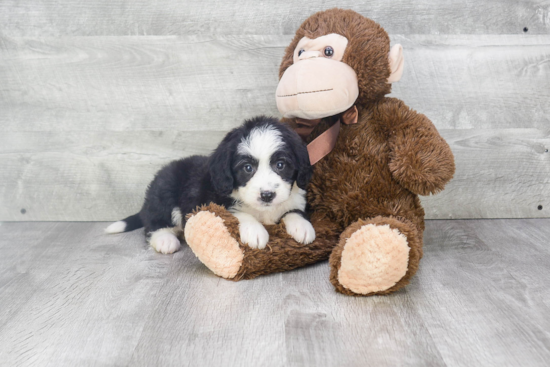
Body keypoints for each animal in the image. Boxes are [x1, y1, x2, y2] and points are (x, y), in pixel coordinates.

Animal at [105, 116, 316, 254]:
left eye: (280, 165)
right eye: (247, 168)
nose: (266, 195)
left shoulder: (294, 198)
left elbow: (293, 210)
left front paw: (302, 227)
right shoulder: (214, 201)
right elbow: (240, 213)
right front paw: (255, 231)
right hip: (165, 192)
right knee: (154, 223)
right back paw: (165, 240)